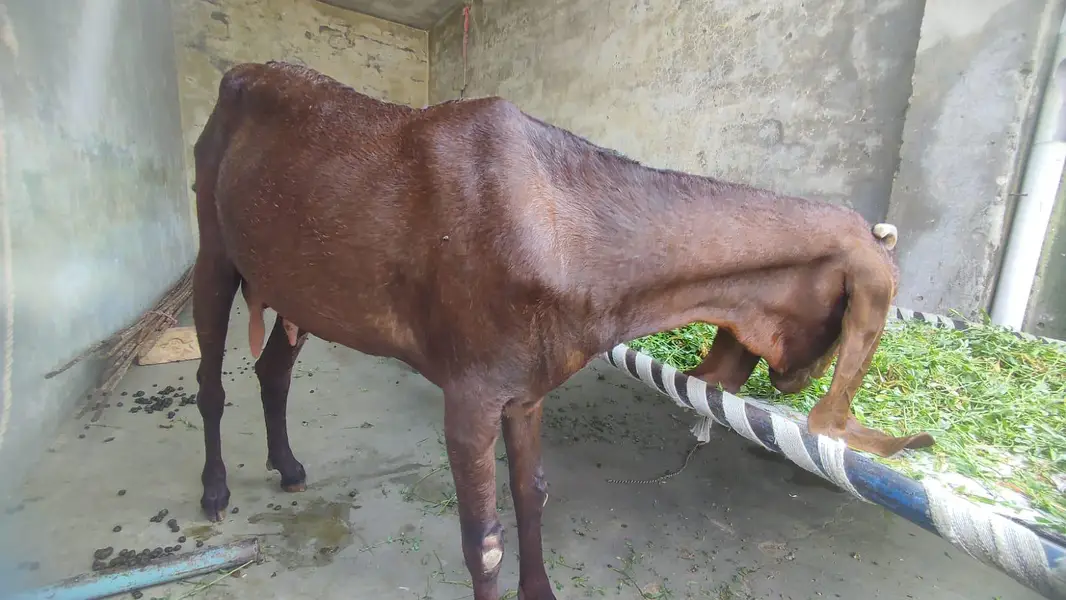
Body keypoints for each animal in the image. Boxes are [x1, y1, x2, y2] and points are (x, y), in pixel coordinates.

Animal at [191, 61, 934, 600]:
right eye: (857, 318)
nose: (795, 377)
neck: (566, 225)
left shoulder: (528, 385)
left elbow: (534, 492)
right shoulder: (469, 390)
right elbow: (483, 537)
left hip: (297, 285)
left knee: (274, 367)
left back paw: (288, 467)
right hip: (213, 245)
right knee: (210, 379)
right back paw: (215, 490)